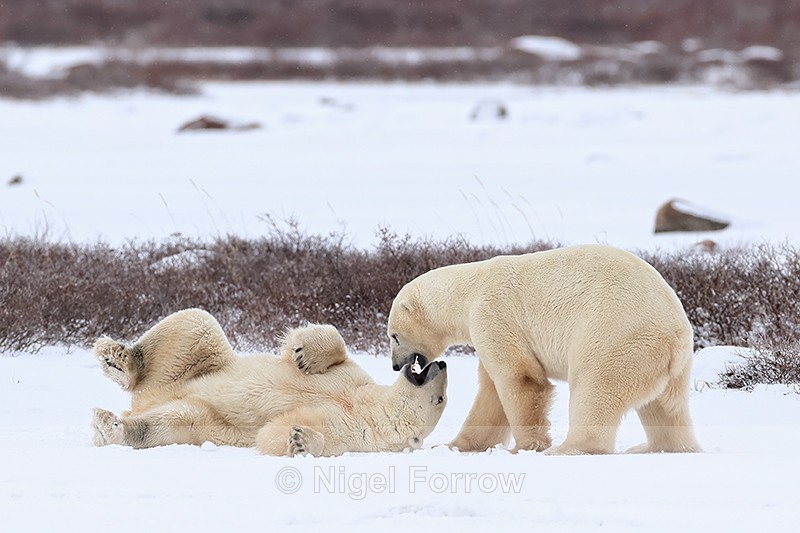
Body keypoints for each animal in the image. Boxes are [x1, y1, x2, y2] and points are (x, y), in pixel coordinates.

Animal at [91, 308, 447, 456]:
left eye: (440, 400)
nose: (442, 363)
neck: (367, 408)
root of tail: (145, 399)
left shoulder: (353, 431)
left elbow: (275, 431)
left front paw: (301, 441)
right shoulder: (355, 380)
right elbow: (333, 347)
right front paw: (305, 353)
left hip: (203, 419)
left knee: (171, 422)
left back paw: (113, 428)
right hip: (191, 366)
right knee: (196, 323)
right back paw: (118, 359)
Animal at [386, 244, 701, 455]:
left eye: (394, 336)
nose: (395, 365)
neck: (469, 289)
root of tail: (675, 335)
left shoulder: (492, 315)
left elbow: (520, 379)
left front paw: (527, 447)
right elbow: (490, 393)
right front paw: (454, 445)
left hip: (614, 337)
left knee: (595, 390)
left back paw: (566, 449)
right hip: (668, 364)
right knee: (666, 409)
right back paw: (662, 447)